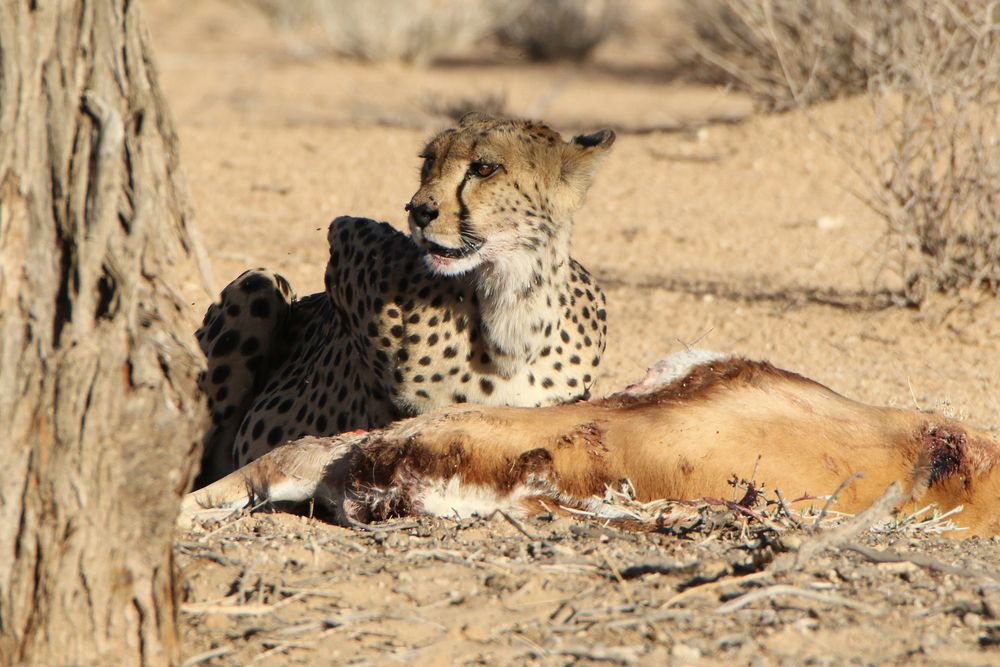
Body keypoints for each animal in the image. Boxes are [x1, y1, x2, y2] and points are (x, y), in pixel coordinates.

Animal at [195, 113, 612, 480]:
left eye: (484, 168)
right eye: (429, 161)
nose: (419, 210)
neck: (512, 309)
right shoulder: (348, 237)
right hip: (260, 283)